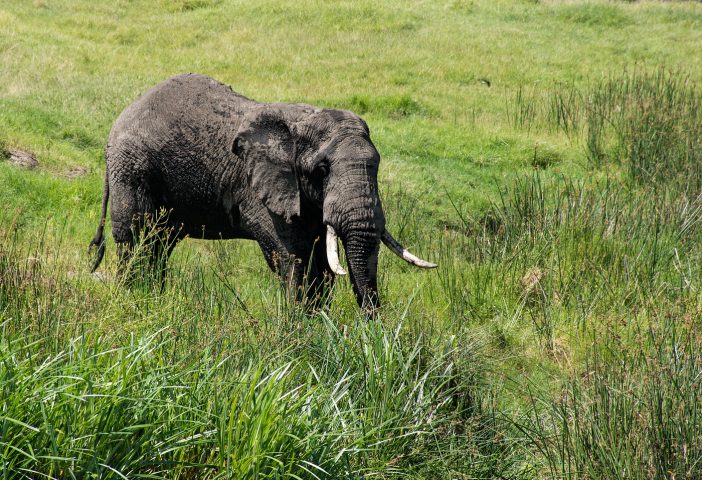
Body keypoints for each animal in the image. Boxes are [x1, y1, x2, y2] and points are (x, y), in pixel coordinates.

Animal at [89, 73, 434, 310]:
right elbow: (293, 256)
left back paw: (153, 298)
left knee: (160, 242)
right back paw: (135, 299)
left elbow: (321, 263)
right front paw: (300, 331)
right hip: (132, 168)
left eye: (376, 165)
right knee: (137, 239)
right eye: (321, 170)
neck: (300, 124)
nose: (371, 328)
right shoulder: (263, 189)